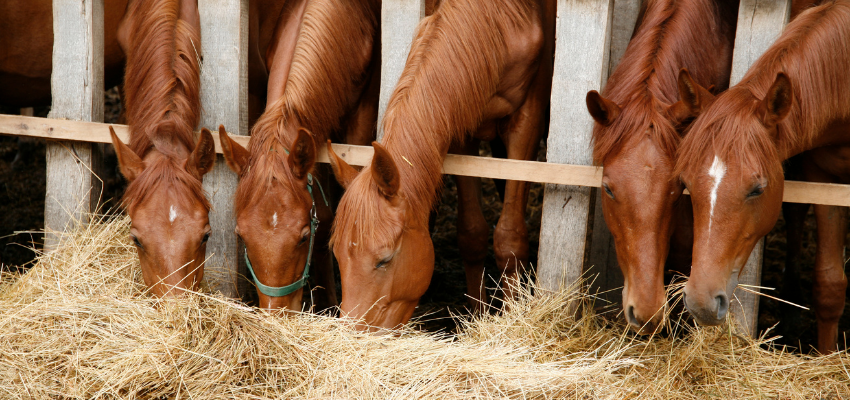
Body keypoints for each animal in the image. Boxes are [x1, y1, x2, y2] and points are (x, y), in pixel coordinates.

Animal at [328, 0, 552, 332]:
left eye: (384, 259)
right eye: (338, 255)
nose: (354, 333)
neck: (499, 20)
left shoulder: (527, 121)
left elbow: (509, 239)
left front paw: (512, 314)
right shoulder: (461, 124)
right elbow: (472, 234)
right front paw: (477, 316)